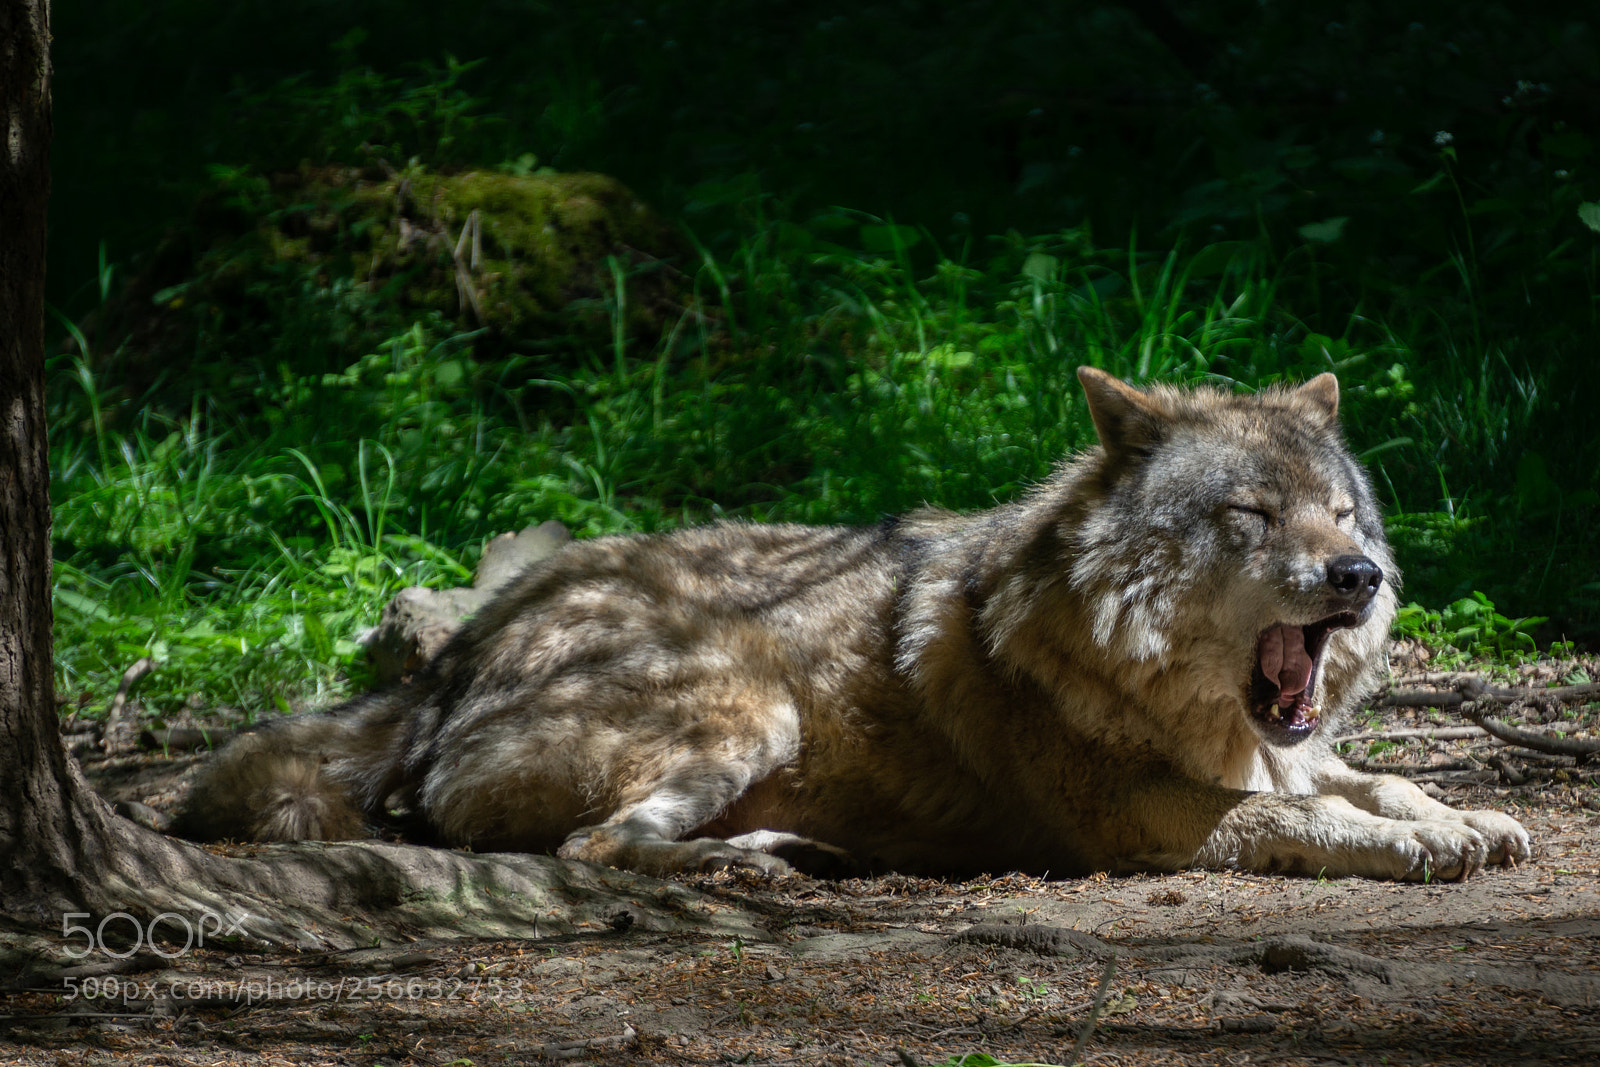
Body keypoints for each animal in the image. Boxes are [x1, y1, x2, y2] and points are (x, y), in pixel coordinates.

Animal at [177, 368, 1531, 881]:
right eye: (1251, 515)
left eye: (1342, 510)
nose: (1357, 574)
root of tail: (449, 666)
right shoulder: (1146, 815)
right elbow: (1304, 815)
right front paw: (1422, 842)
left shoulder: (1286, 748)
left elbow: (1374, 782)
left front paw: (1461, 814)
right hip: (749, 706)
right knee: (592, 847)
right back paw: (752, 859)